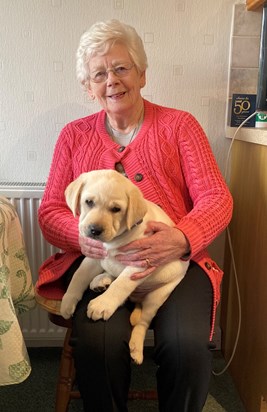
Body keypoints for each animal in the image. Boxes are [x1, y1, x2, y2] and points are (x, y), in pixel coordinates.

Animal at [61, 171, 189, 364]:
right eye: (88, 202)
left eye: (116, 209)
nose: (94, 230)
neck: (114, 241)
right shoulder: (93, 255)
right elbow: (78, 276)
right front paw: (68, 300)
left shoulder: (139, 263)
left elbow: (120, 285)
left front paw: (103, 304)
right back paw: (101, 280)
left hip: (158, 295)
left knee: (143, 322)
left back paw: (136, 347)